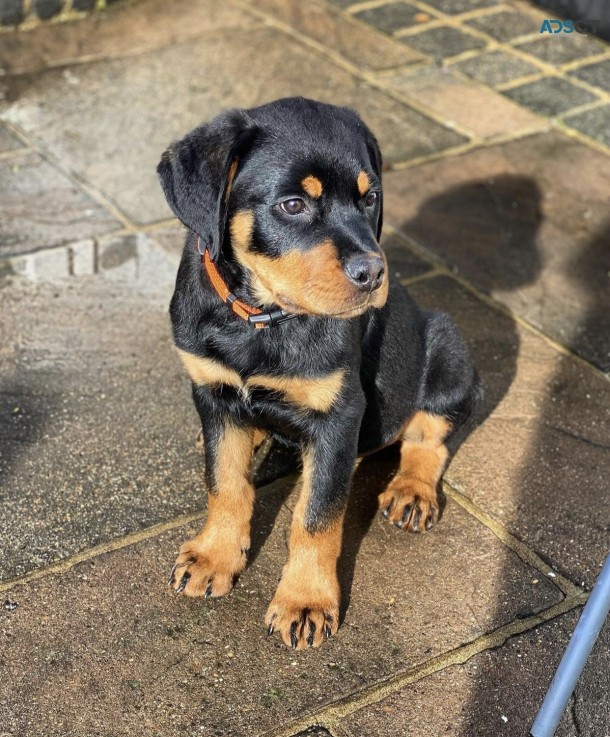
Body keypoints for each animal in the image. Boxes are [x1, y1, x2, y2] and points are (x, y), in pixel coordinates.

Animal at [156, 95, 476, 648]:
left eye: (371, 199)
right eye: (293, 205)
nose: (374, 273)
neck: (263, 319)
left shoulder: (338, 415)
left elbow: (317, 515)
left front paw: (304, 601)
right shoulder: (213, 393)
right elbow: (225, 482)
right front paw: (214, 556)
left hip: (447, 345)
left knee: (427, 437)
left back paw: (411, 492)